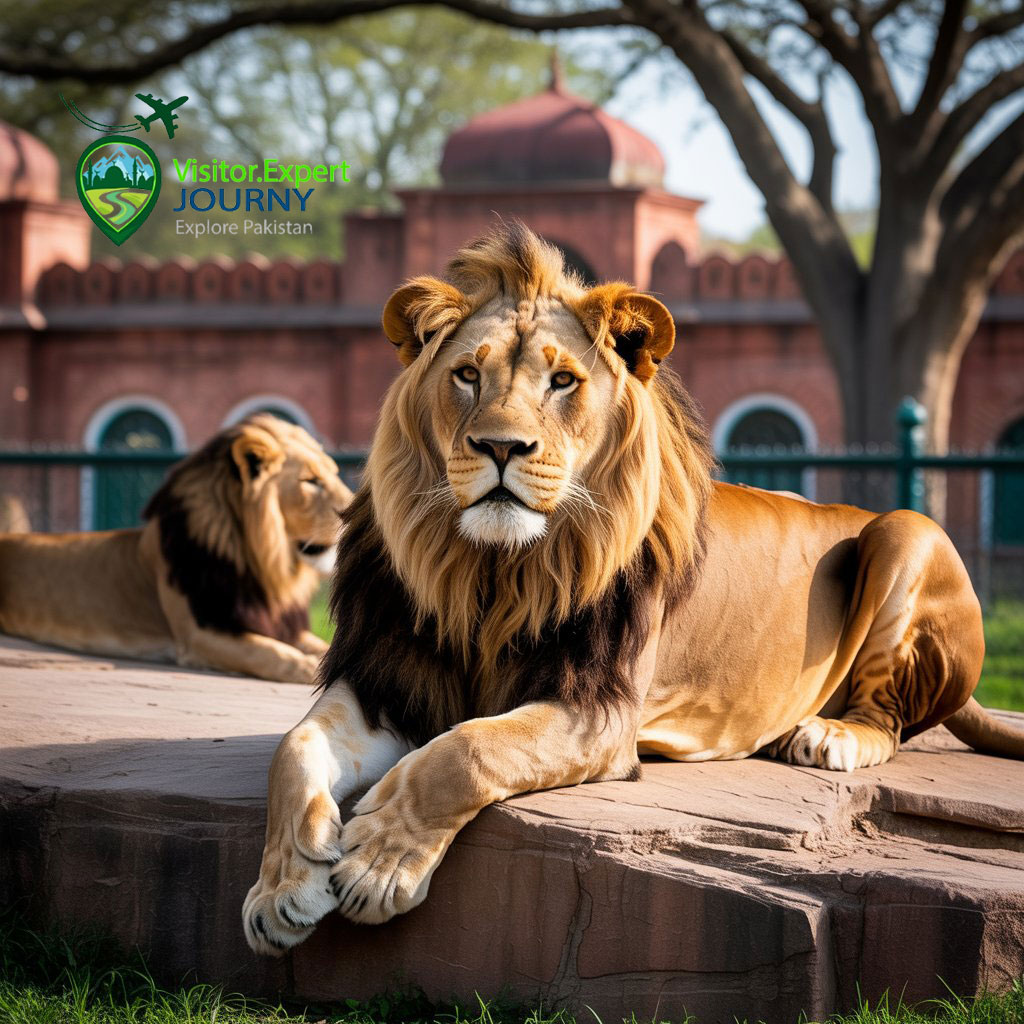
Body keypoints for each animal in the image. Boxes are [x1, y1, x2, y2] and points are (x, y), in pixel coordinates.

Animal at [0, 414, 351, 684]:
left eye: (333, 473)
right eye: (310, 481)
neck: (258, 565)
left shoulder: (277, 624)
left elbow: (318, 645)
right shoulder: (199, 634)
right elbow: (270, 653)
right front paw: (308, 667)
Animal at [242, 223, 1022, 955]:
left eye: (562, 382)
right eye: (466, 374)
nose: (500, 446)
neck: (491, 571)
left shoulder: (600, 708)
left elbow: (469, 749)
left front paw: (380, 860)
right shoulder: (391, 680)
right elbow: (293, 749)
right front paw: (281, 887)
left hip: (906, 530)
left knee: (887, 721)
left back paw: (825, 734)